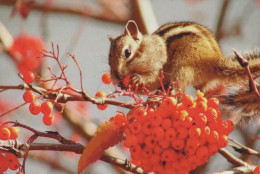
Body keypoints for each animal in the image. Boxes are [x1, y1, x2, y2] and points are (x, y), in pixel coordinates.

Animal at [107, 19, 260, 115]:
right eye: (109, 61)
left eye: (127, 52)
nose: (117, 77)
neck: (145, 48)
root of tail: (216, 61)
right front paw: (124, 85)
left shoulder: (159, 63)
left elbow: (153, 79)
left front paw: (137, 79)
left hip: (183, 66)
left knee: (179, 93)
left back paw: (161, 98)